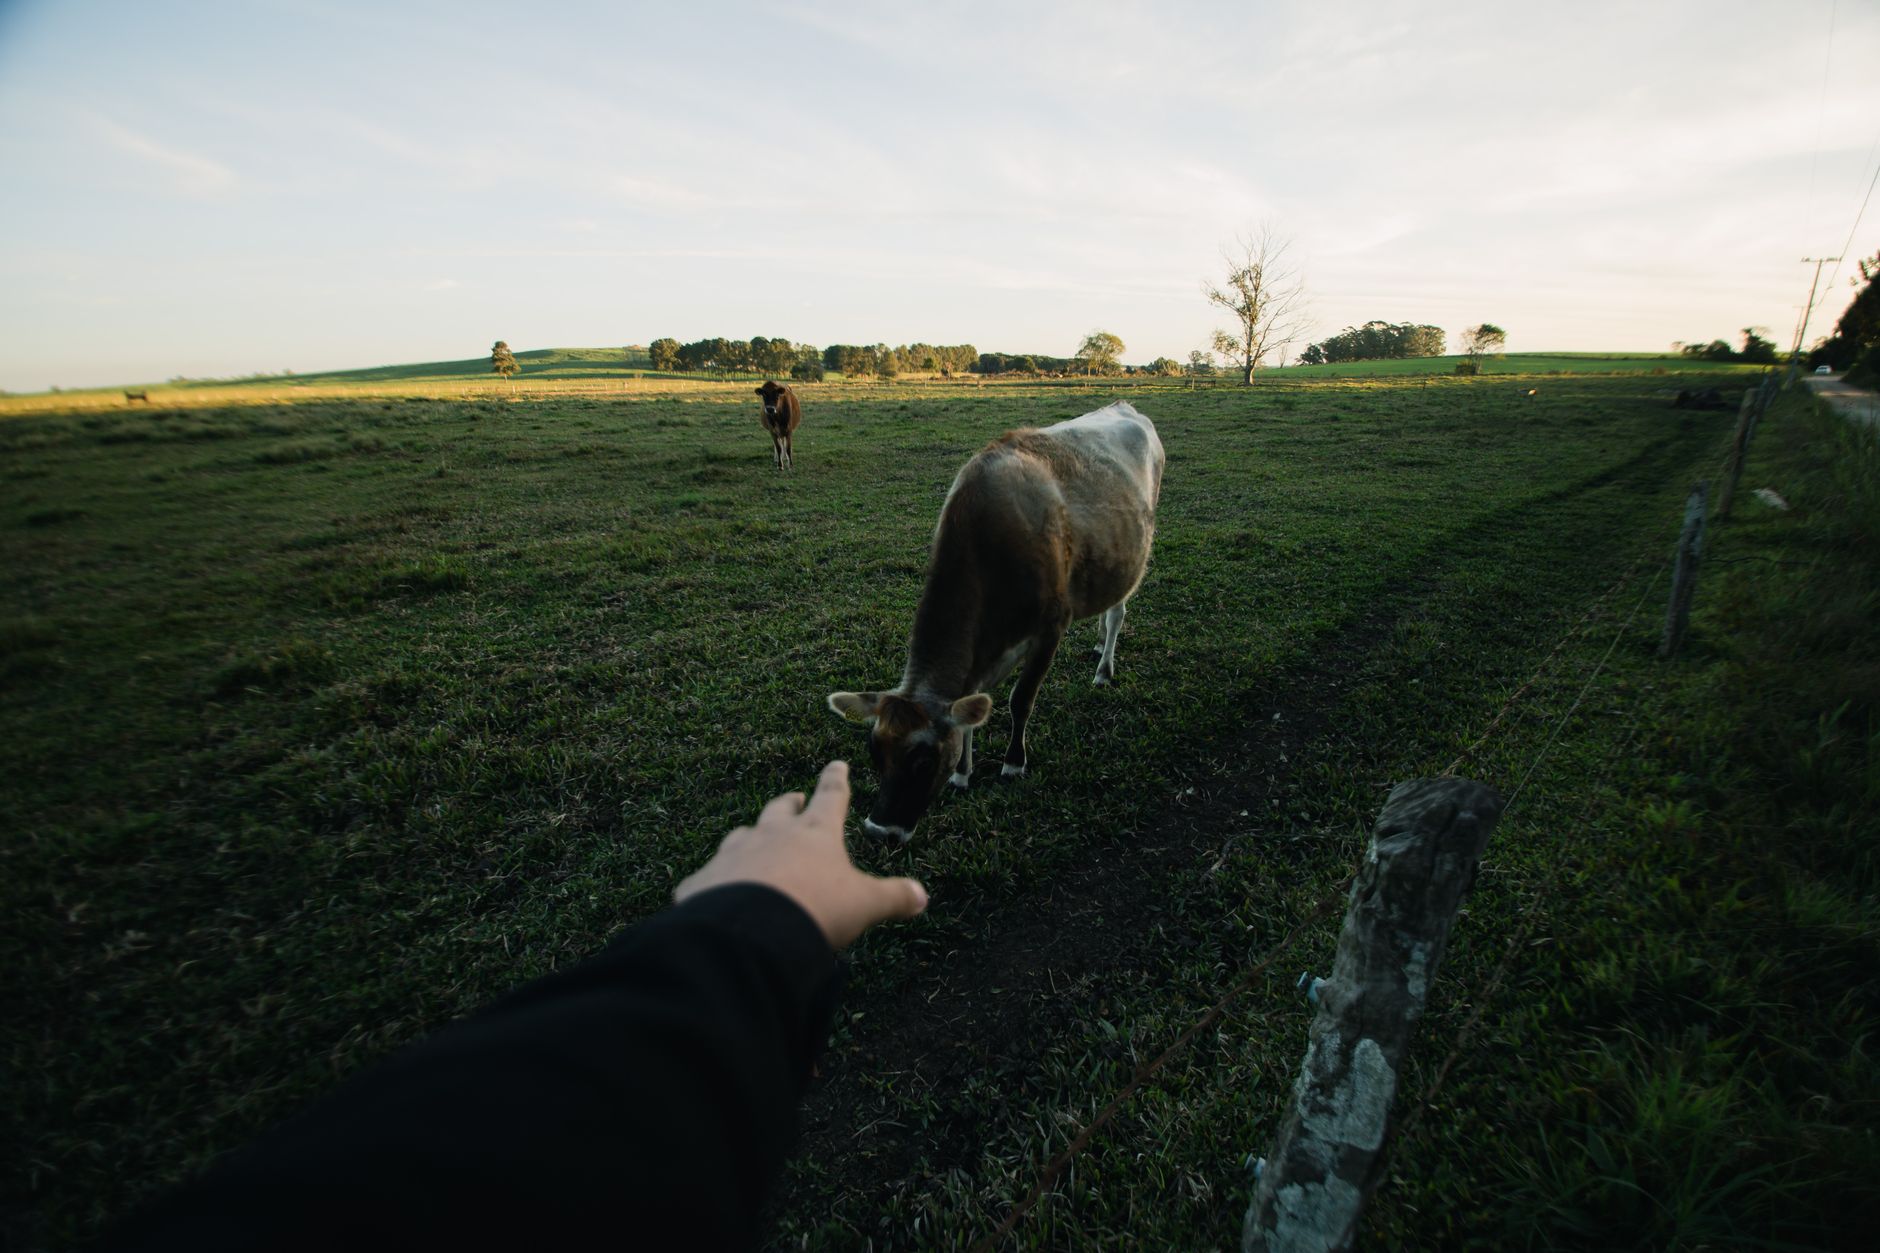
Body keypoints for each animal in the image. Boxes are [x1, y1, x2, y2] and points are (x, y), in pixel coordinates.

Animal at [827, 401, 1165, 842]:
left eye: (923, 760)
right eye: (874, 753)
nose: (879, 831)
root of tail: (1123, 405)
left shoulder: (1050, 628)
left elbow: (1020, 700)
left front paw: (1013, 763)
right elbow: (970, 715)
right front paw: (963, 773)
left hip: (1131, 559)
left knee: (1116, 615)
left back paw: (1104, 668)